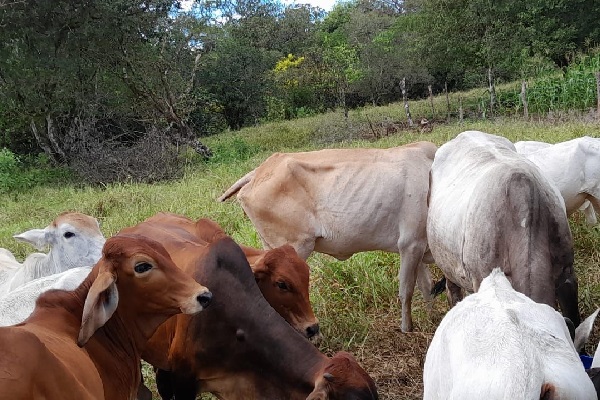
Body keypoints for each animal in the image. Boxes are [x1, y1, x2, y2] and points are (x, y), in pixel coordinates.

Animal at [218, 142, 438, 332]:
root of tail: (259, 171)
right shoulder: (410, 244)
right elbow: (407, 291)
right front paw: (407, 329)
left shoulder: (417, 247)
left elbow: (426, 286)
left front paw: (432, 321)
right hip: (295, 247)